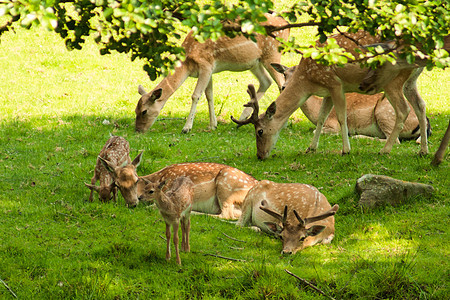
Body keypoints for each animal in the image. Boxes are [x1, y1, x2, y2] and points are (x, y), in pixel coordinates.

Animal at [134, 12, 288, 132]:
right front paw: (213, 125)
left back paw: (283, 124)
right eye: (135, 110)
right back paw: (242, 118)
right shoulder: (210, 69)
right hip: (255, 62)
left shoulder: (206, 64)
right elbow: (209, 95)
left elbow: (196, 95)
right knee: (266, 81)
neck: (188, 63)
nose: (138, 130)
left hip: (272, 53)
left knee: (282, 84)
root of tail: (285, 23)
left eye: (144, 111)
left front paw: (186, 128)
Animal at [268, 63, 430, 143]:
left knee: (395, 140)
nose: (283, 87)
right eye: (284, 73)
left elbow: (316, 130)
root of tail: (428, 124)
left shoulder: (333, 124)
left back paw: (358, 137)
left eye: (298, 74)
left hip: (384, 113)